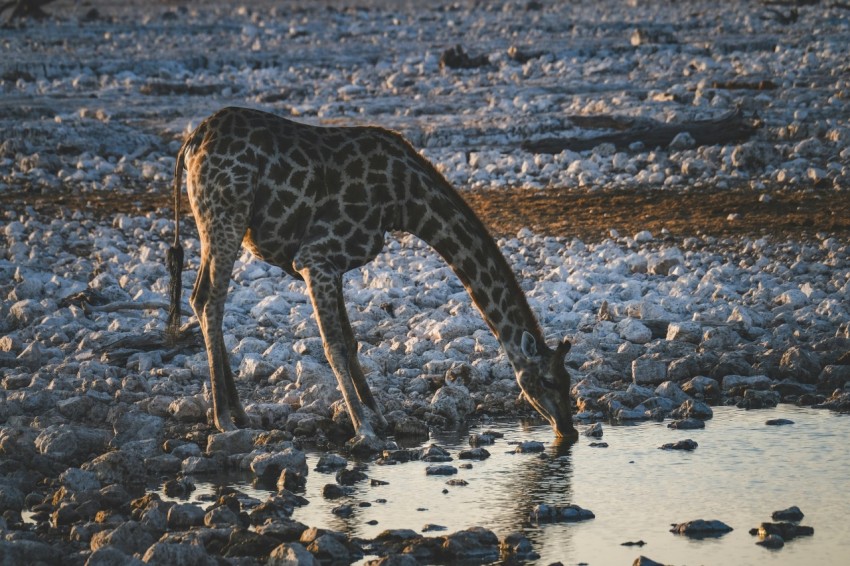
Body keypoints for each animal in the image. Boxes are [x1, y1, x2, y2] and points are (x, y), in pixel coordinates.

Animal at [166, 106, 576, 448]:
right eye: (548, 380)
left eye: (570, 380)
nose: (568, 429)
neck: (405, 201)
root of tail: (190, 144)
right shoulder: (316, 258)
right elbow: (333, 345)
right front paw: (362, 427)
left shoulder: (335, 265)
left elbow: (351, 342)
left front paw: (377, 416)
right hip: (226, 216)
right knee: (211, 301)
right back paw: (223, 419)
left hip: (214, 224)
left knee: (198, 297)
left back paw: (240, 412)